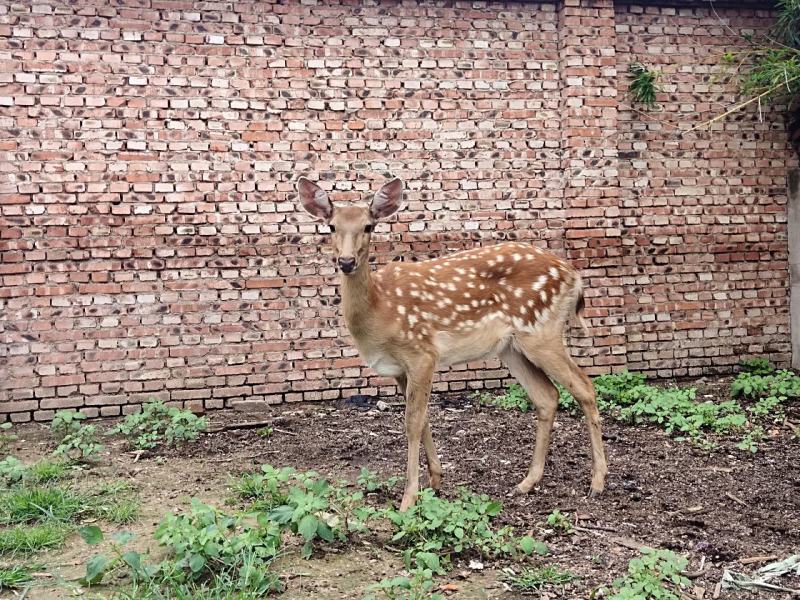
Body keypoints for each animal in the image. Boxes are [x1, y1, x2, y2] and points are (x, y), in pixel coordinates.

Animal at [297, 176, 608, 512]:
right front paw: (435, 481)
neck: (380, 308)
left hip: (543, 332)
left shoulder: (422, 353)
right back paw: (526, 482)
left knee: (585, 387)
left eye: (368, 226)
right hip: (511, 347)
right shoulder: (399, 369)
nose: (346, 261)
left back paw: (597, 482)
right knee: (547, 396)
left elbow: (412, 422)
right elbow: (423, 419)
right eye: (330, 226)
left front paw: (409, 498)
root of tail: (575, 277)